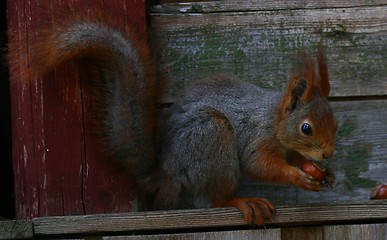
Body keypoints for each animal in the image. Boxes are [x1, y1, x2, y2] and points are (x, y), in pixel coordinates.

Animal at [7, 7, 338, 225]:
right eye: (306, 128)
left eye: (335, 123)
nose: (328, 153)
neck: (274, 121)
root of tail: (167, 173)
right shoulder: (256, 135)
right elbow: (259, 164)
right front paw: (296, 175)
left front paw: (322, 173)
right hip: (211, 137)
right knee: (211, 201)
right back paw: (242, 201)